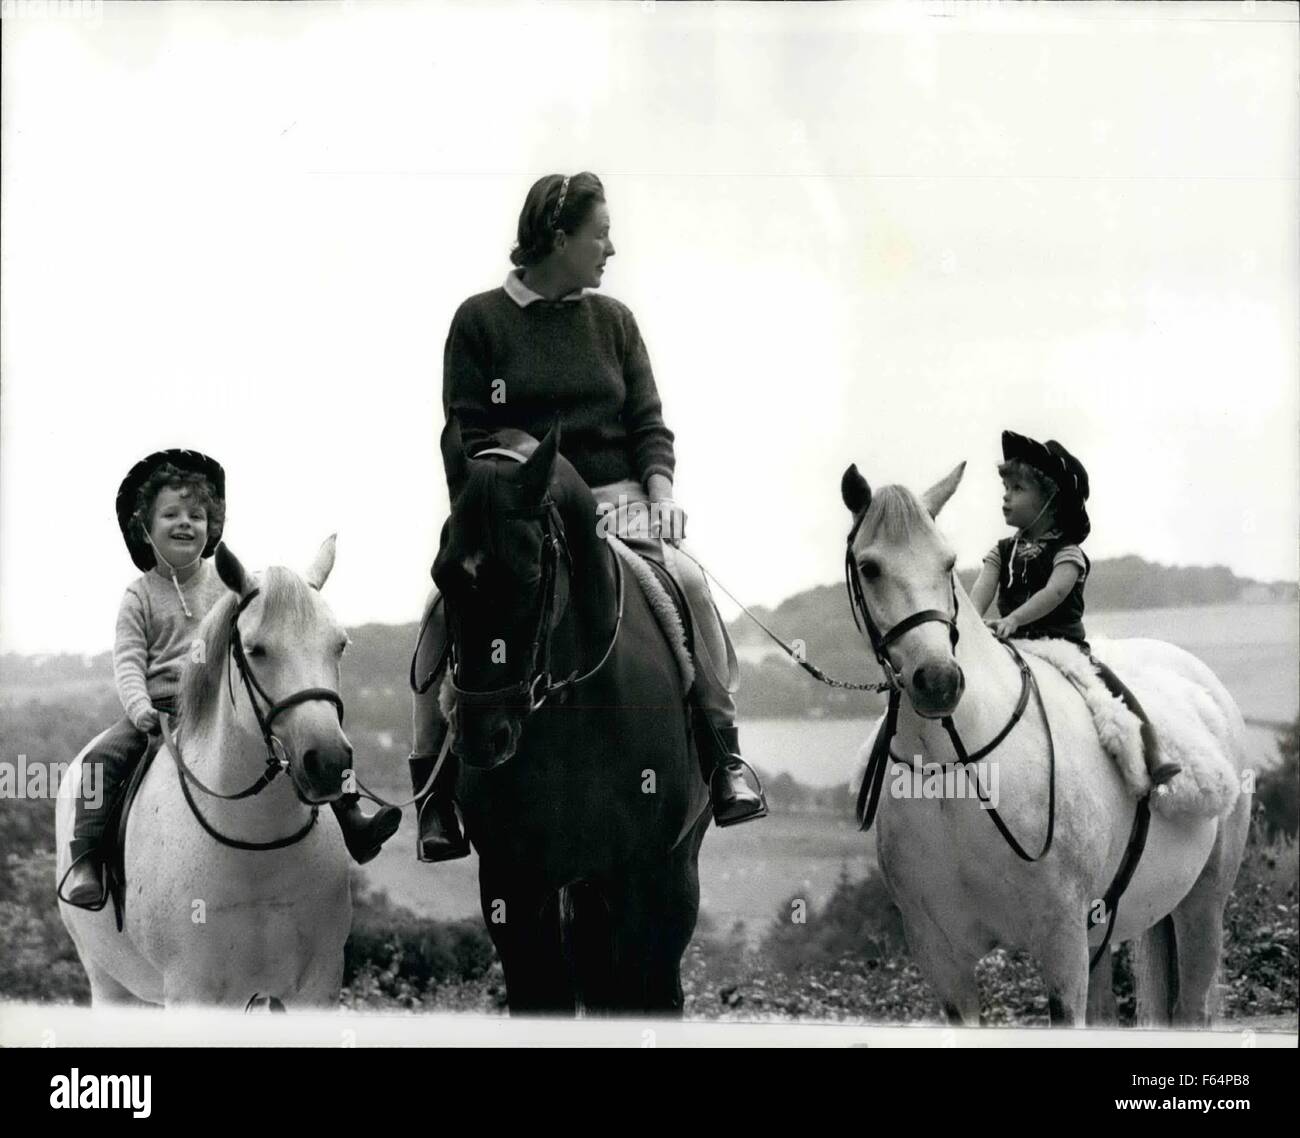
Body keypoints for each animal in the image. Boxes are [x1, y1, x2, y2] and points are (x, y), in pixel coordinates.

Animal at [55, 538, 353, 1009]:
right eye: (257, 650)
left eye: (339, 645)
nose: (328, 763)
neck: (257, 846)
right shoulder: (193, 992)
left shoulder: (315, 988)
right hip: (109, 984)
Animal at [426, 418, 712, 1014]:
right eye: (441, 577)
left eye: (532, 575)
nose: (482, 736)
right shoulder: (512, 886)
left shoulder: (636, 881)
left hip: (674, 876)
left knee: (662, 988)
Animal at [842, 465, 1248, 1030]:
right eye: (870, 567)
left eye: (947, 562)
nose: (939, 681)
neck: (960, 767)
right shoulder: (942, 957)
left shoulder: (1062, 944)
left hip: (1202, 905)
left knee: (1193, 1004)